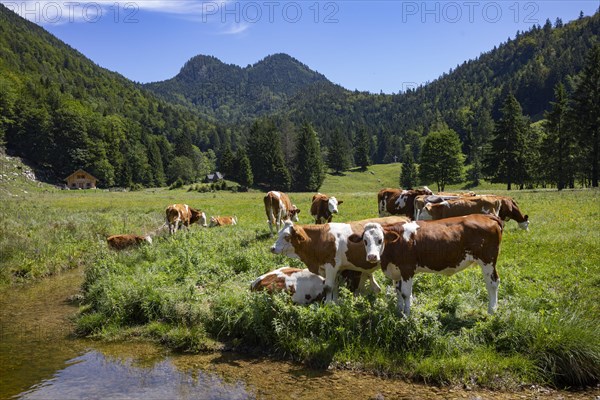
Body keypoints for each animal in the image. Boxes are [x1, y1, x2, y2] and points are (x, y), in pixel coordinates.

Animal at [270, 217, 410, 302]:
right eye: (279, 233)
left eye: (286, 236)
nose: (272, 248)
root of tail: (403, 218)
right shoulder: (332, 268)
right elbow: (335, 286)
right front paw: (335, 302)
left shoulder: (331, 265)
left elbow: (328, 287)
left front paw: (327, 305)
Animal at [350, 216, 504, 316]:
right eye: (365, 241)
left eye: (380, 240)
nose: (372, 257)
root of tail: (485, 216)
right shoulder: (396, 271)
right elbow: (398, 292)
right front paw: (398, 311)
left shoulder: (407, 269)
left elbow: (406, 293)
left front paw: (407, 315)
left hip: (488, 260)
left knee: (492, 283)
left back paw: (492, 310)